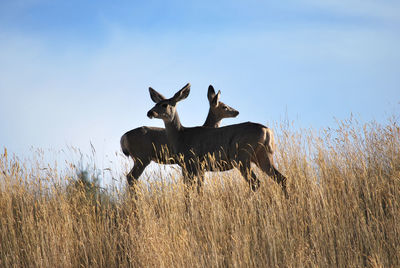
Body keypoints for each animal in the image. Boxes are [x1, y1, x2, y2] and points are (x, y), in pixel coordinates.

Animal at [147, 82, 288, 196]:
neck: (181, 135)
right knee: (281, 178)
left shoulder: (191, 162)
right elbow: (197, 189)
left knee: (255, 182)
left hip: (242, 156)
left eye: (164, 105)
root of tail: (267, 131)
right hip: (263, 155)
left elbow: (189, 190)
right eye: (155, 103)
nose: (150, 112)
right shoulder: (197, 166)